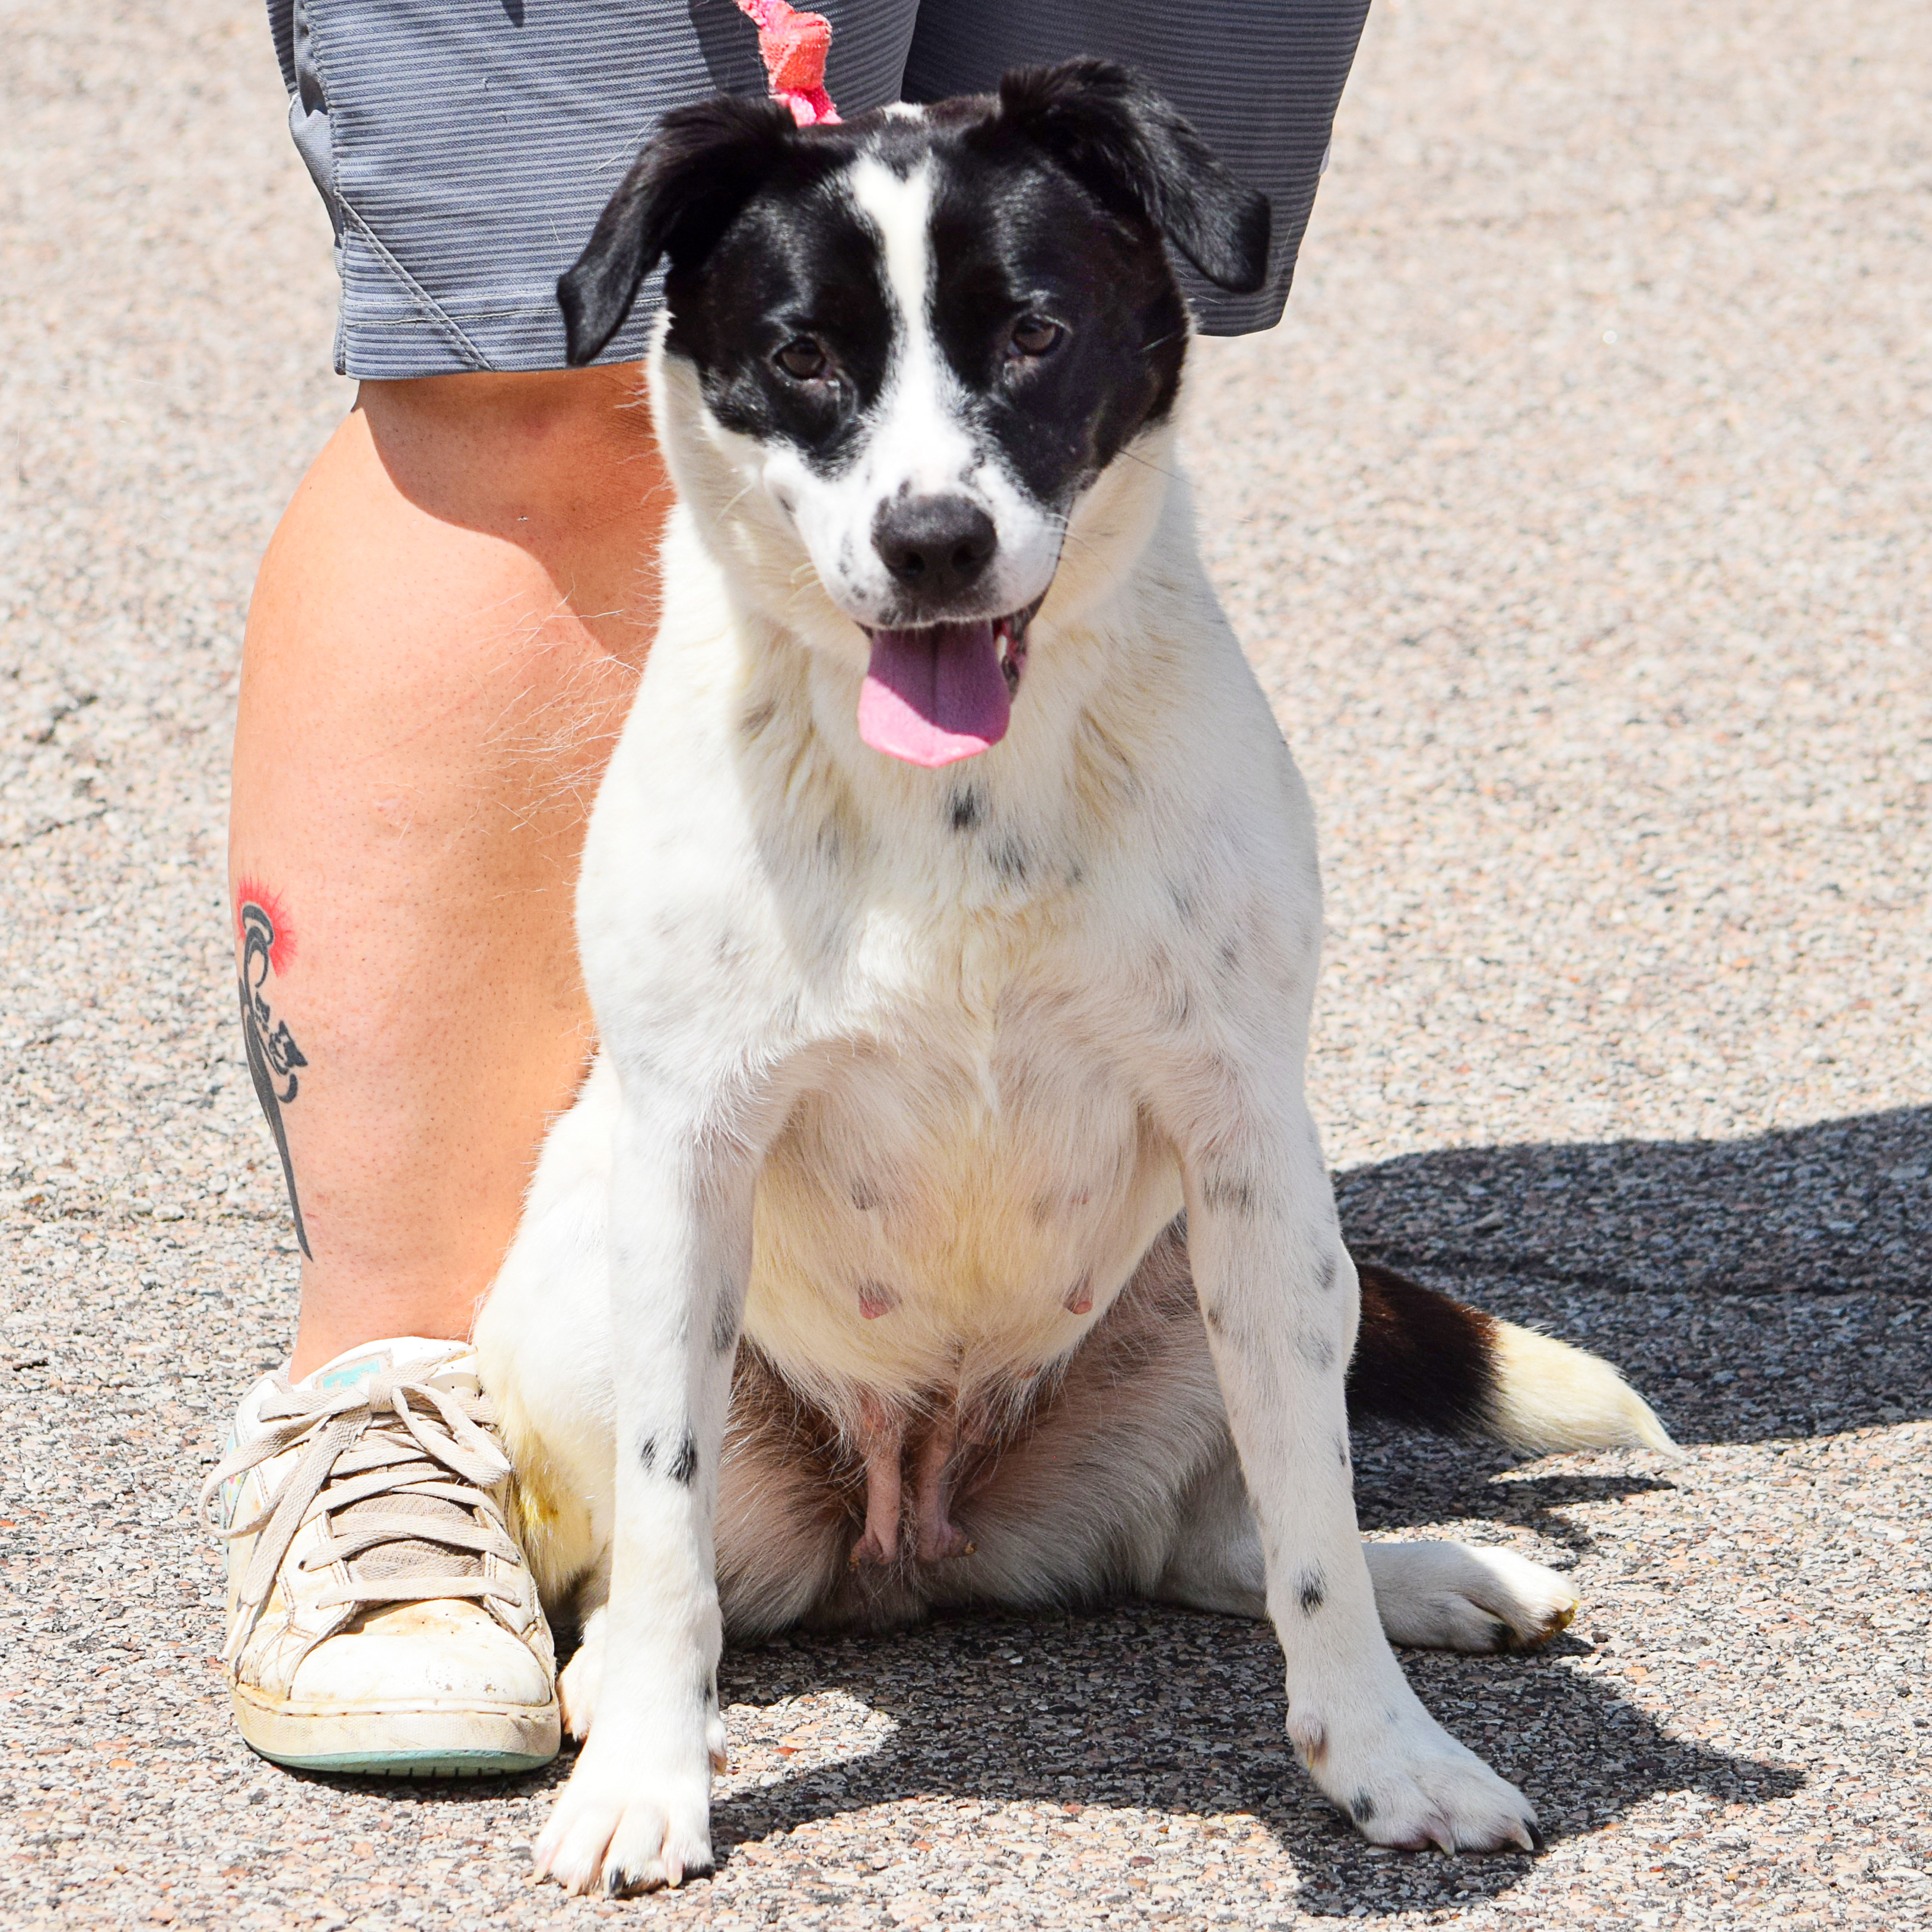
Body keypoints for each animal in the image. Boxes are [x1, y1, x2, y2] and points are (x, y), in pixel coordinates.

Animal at [471, 64, 1677, 1901]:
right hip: (588, 1277)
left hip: (1262, 1271)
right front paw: (649, 1782)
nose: (934, 542)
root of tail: (921, 1536)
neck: (961, 791)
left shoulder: (1247, 1144)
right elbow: (667, 1540)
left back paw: (1435, 1577)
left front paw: (1385, 1754)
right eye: (802, 355)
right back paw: (614, 1685)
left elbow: (1309, 1527)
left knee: (1226, 1530)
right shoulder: (687, 1159)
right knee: (650, 1569)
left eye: (1036, 332)